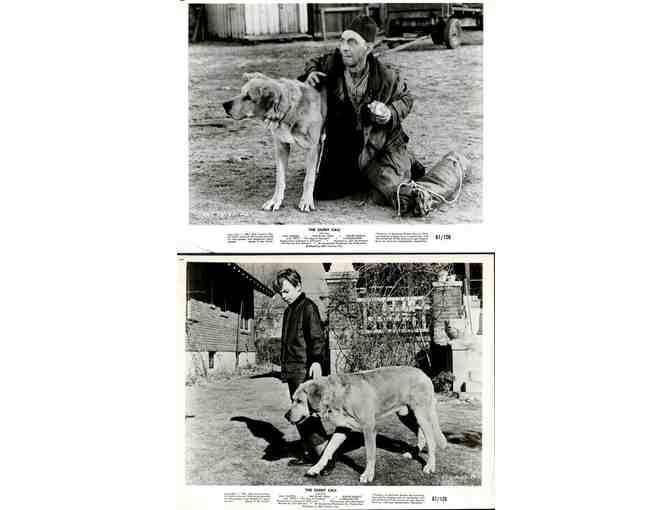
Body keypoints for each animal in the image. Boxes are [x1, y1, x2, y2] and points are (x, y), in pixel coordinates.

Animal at [223, 71, 328, 211]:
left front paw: (306, 201)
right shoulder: (281, 147)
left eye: (248, 97)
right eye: (240, 92)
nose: (224, 105)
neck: (289, 109)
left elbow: (308, 179)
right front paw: (275, 201)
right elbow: (280, 179)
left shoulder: (312, 148)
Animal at [284, 366, 446, 482]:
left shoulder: (369, 429)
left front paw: (368, 474)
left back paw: (430, 465)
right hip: (406, 415)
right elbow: (328, 450)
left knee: (431, 439)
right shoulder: (342, 428)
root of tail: (423, 374)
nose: (286, 416)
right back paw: (413, 453)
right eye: (293, 399)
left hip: (421, 414)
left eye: (299, 401)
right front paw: (316, 468)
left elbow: (370, 454)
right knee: (421, 433)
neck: (338, 395)